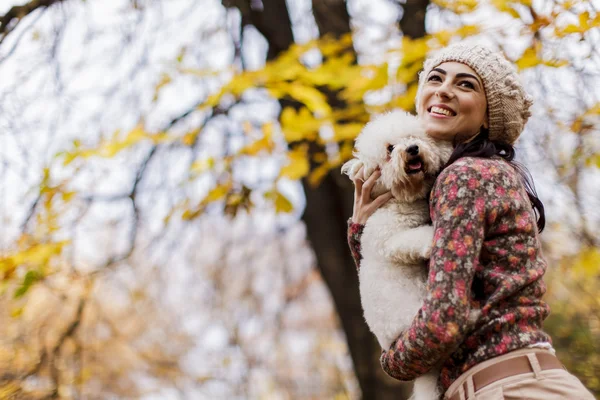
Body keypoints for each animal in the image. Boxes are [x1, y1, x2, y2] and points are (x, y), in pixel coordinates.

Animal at [342, 110, 450, 400]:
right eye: (390, 149)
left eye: (413, 137)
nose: (412, 149)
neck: (400, 199)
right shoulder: (391, 241)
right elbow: (417, 238)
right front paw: (431, 238)